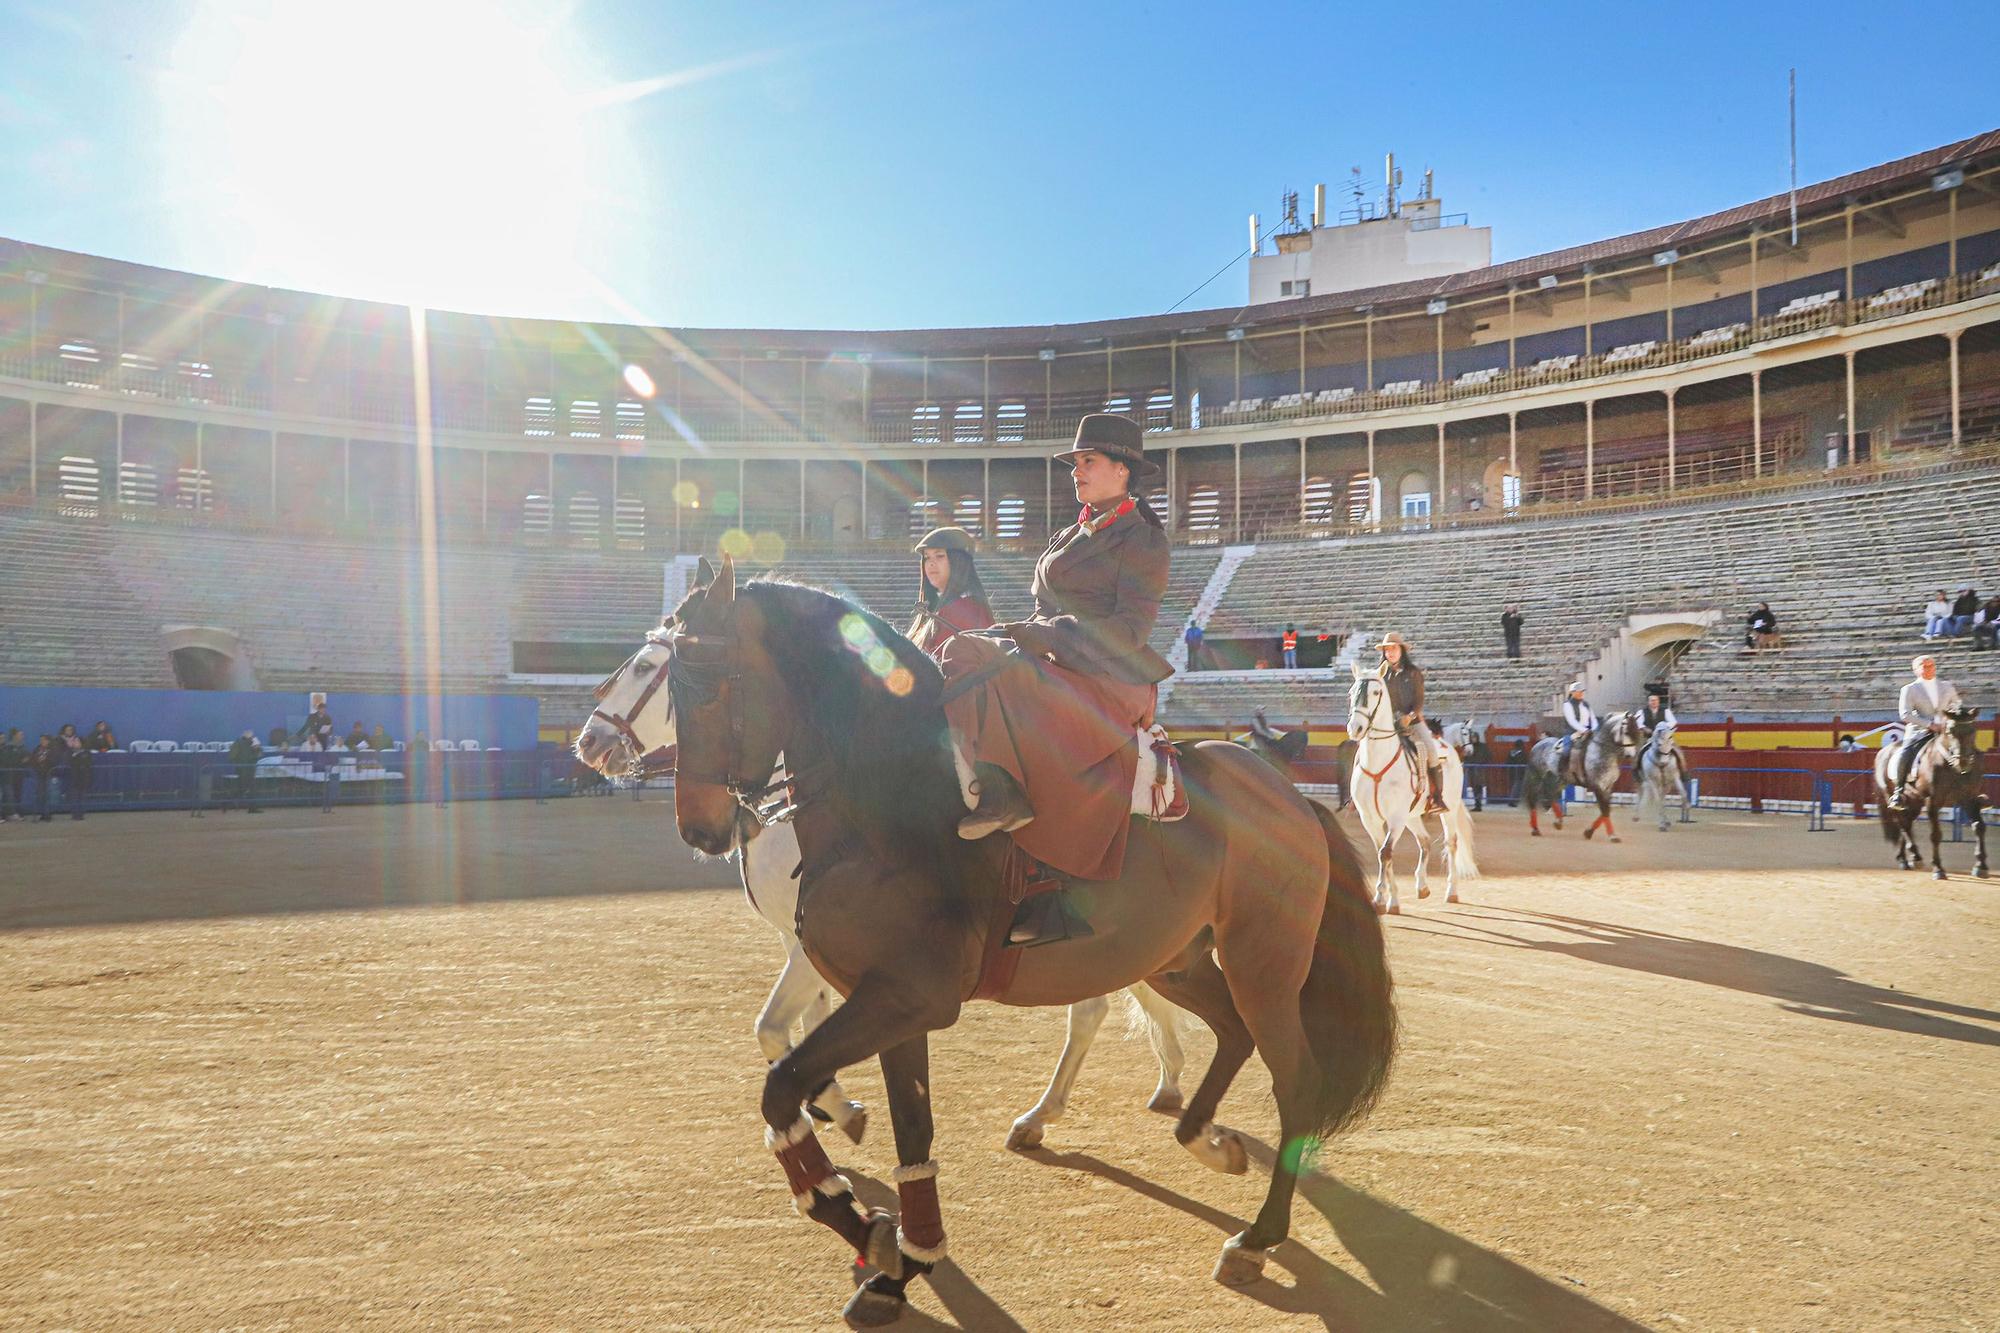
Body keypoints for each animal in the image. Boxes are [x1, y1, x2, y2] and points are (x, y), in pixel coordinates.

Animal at [572, 624, 1184, 1144]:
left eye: (645, 667)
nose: (589, 742)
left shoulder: (820, 947)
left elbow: (771, 1027)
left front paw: (839, 1105)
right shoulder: (806, 942)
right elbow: (806, 1019)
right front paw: (824, 1099)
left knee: (1097, 1007)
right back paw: (1154, 1083)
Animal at [652, 556, 1392, 1320]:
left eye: (707, 686)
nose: (700, 827)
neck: (890, 803)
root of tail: (1285, 792)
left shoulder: (905, 997)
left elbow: (783, 1087)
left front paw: (864, 1223)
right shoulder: (889, 1003)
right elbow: (910, 1127)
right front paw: (905, 1258)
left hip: (1262, 964)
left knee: (1296, 1079)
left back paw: (1256, 1237)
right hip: (1175, 960)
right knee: (1230, 1033)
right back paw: (1204, 1140)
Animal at [1344, 660, 1488, 908]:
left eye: (1376, 692)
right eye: (1352, 692)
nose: (1356, 729)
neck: (1377, 762)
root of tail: (1448, 749)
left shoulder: (1396, 817)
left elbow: (1386, 852)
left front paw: (1382, 896)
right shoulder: (1370, 819)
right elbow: (1382, 852)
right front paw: (1391, 897)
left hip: (1446, 810)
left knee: (1451, 843)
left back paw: (1451, 891)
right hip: (1412, 816)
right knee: (1425, 841)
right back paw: (1422, 886)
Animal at [1872, 700, 1984, 876]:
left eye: (1972, 730)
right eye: (1950, 731)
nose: (1963, 762)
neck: (1952, 767)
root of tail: (1883, 752)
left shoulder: (1969, 798)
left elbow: (1978, 826)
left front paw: (1980, 866)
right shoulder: (1933, 801)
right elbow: (1936, 834)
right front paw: (1938, 869)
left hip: (1914, 801)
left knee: (1907, 823)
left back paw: (1905, 860)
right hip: (1892, 795)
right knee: (1902, 823)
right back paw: (1914, 857)